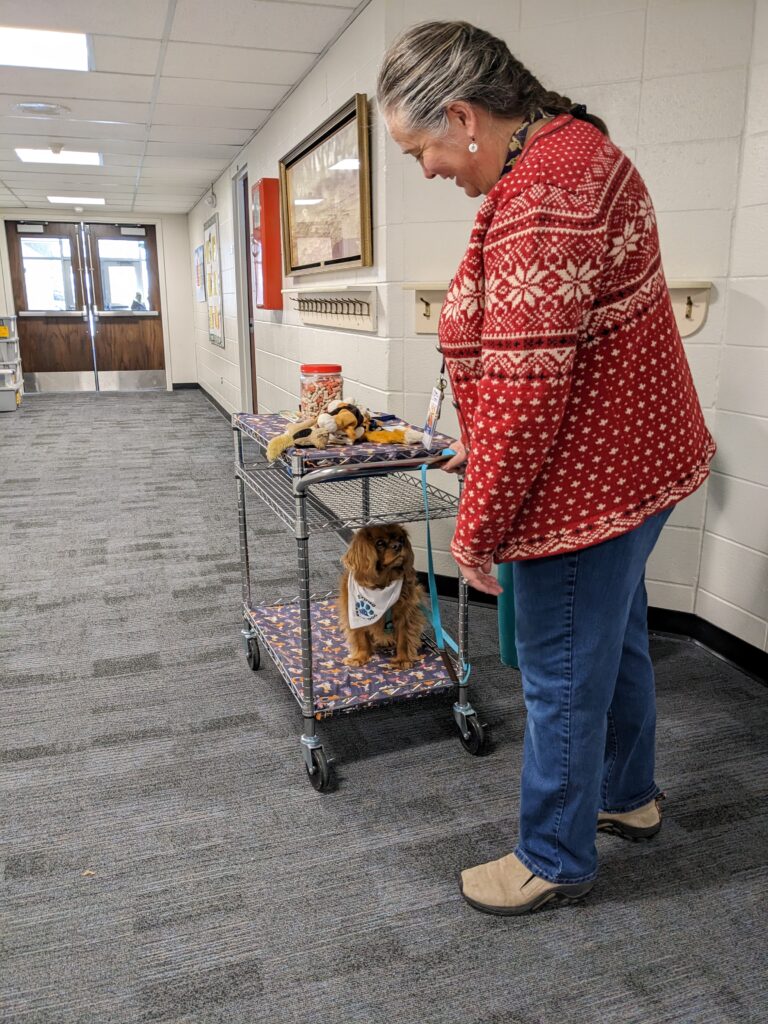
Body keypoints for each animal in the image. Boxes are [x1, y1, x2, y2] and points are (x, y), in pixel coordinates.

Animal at [342, 524, 430, 667]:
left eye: (401, 539)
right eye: (380, 543)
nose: (398, 545)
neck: (382, 586)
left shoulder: (405, 614)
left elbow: (403, 638)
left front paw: (402, 660)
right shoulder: (353, 614)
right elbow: (361, 638)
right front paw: (359, 657)